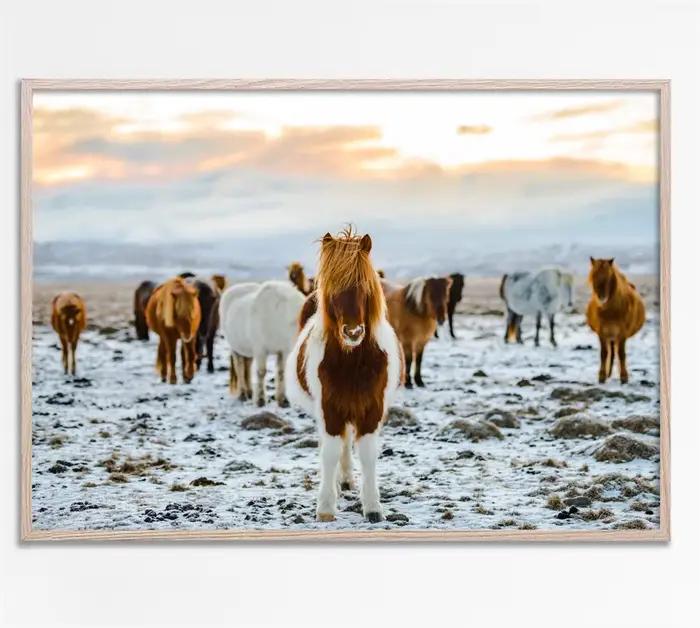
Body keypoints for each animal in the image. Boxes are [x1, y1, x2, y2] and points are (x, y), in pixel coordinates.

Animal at [286, 229, 402, 523]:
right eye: (333, 289)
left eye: (365, 286)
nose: (353, 332)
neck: (352, 363)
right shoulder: (329, 409)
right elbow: (329, 453)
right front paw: (326, 507)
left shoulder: (372, 409)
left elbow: (368, 454)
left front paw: (373, 507)